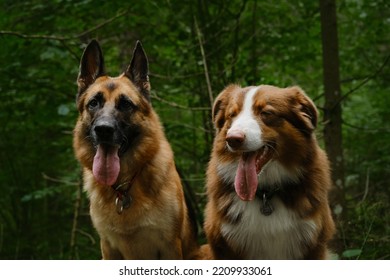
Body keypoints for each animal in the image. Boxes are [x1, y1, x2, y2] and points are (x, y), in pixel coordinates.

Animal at [73, 40, 198, 260]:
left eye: (126, 104)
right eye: (94, 103)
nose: (103, 130)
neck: (124, 187)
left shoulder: (170, 246)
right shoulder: (108, 248)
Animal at [203, 84, 334, 260]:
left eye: (266, 113)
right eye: (232, 115)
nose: (232, 139)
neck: (265, 193)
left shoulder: (314, 244)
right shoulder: (223, 245)